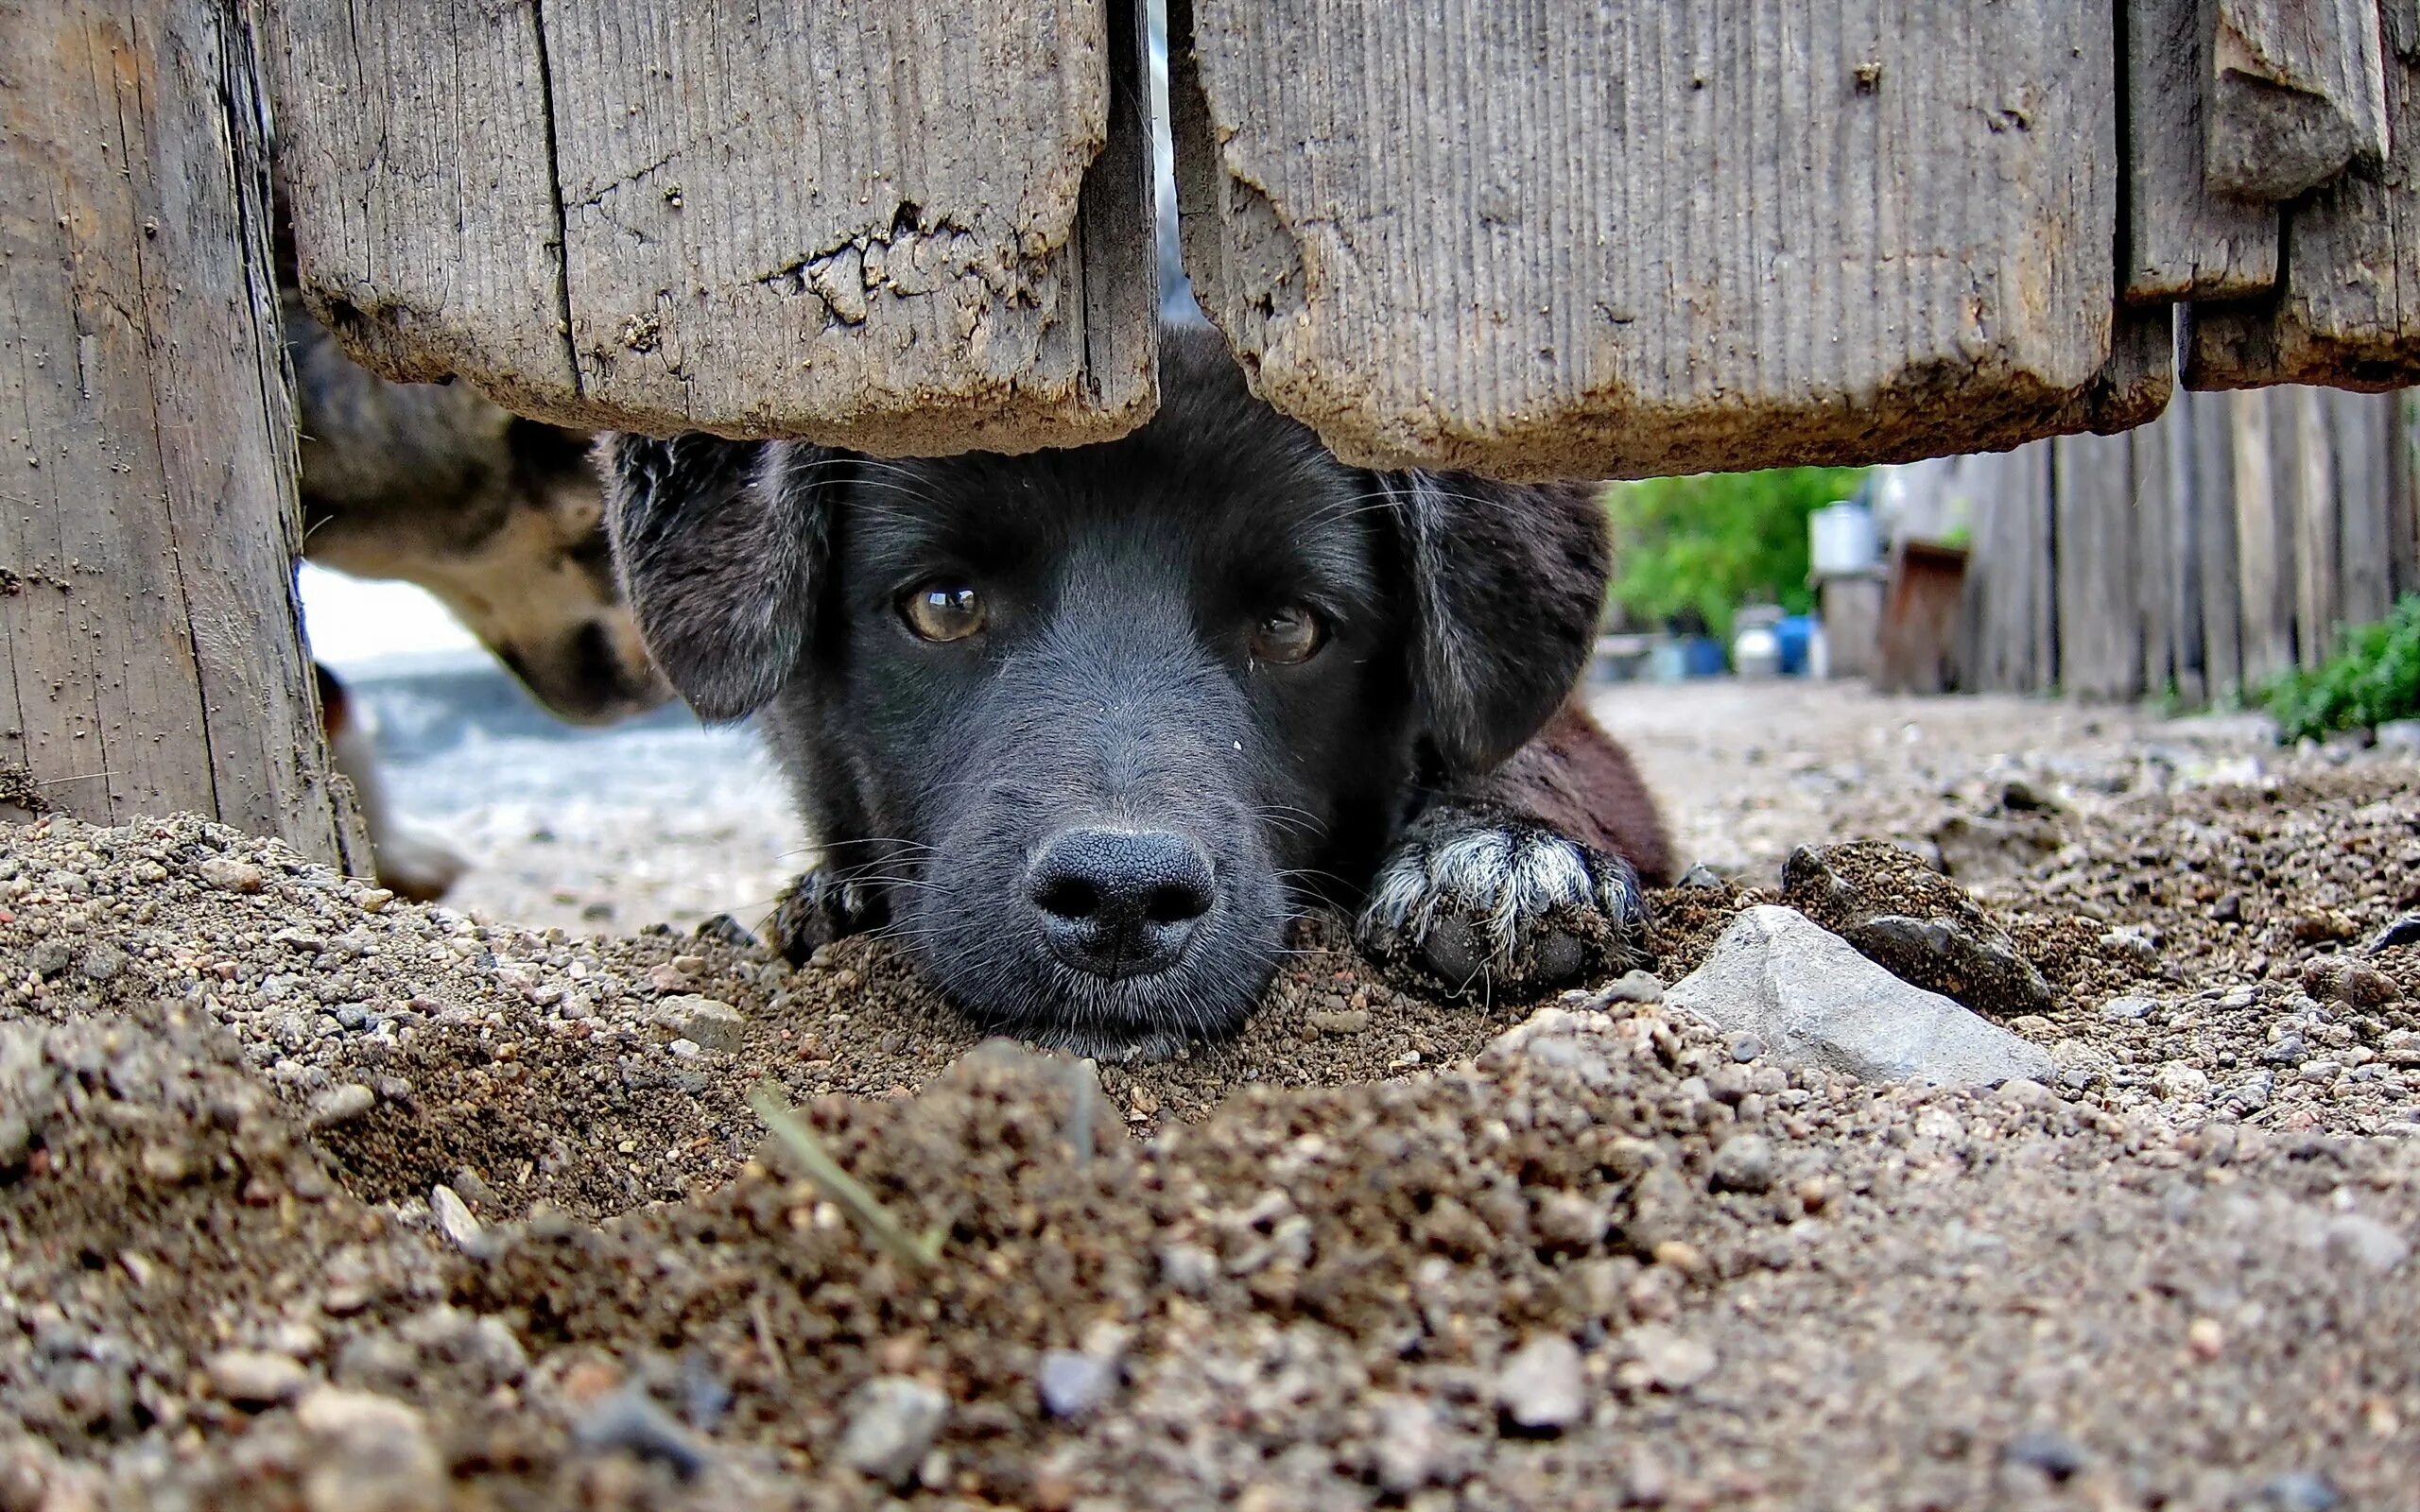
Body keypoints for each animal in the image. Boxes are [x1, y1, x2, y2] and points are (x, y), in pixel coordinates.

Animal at [602, 324, 1665, 1055]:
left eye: (1291, 627)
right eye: (943, 604)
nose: (1120, 902)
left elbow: (1531, 757)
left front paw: (1499, 852)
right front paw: (835, 894)